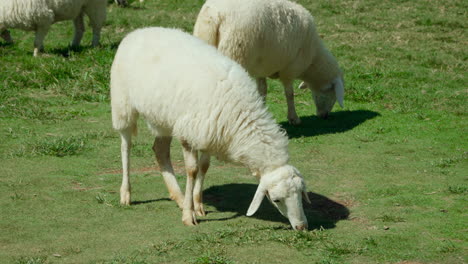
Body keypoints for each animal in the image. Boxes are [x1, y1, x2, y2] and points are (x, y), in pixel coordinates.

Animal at [110, 25, 310, 230]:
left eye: (301, 193)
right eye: (276, 199)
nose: (302, 226)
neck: (240, 111)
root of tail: (138, 31)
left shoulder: (209, 134)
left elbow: (204, 167)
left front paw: (197, 205)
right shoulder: (189, 134)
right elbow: (192, 170)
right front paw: (188, 215)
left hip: (163, 118)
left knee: (160, 150)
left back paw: (178, 196)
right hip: (122, 104)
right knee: (126, 145)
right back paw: (126, 193)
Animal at [193, 0, 344, 124]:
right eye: (332, 92)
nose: (324, 116)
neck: (313, 59)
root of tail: (215, 16)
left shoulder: (261, 67)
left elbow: (262, 91)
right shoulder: (289, 70)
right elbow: (289, 94)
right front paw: (293, 118)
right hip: (234, 52)